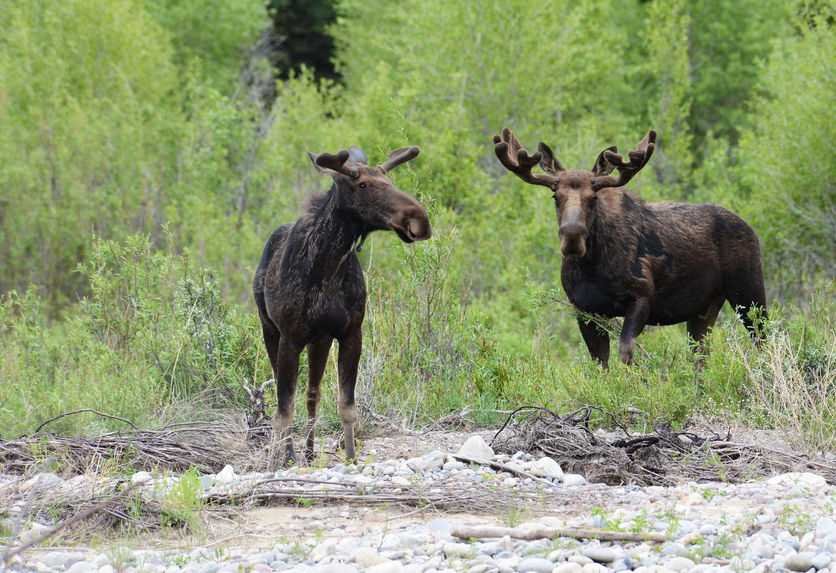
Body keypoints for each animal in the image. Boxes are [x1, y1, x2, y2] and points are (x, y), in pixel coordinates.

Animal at [253, 144, 431, 469]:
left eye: (389, 180)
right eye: (362, 185)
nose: (419, 220)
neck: (329, 266)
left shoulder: (351, 333)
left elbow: (346, 405)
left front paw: (350, 458)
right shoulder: (289, 337)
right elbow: (283, 409)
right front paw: (275, 464)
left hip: (319, 341)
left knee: (313, 393)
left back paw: (310, 452)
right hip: (269, 328)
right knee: (291, 396)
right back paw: (290, 454)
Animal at [493, 128, 767, 368]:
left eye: (593, 197)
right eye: (555, 197)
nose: (572, 237)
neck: (591, 268)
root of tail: (751, 230)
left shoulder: (641, 297)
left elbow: (626, 352)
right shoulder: (583, 309)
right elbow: (600, 362)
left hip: (749, 292)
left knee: (763, 339)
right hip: (705, 308)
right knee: (701, 355)